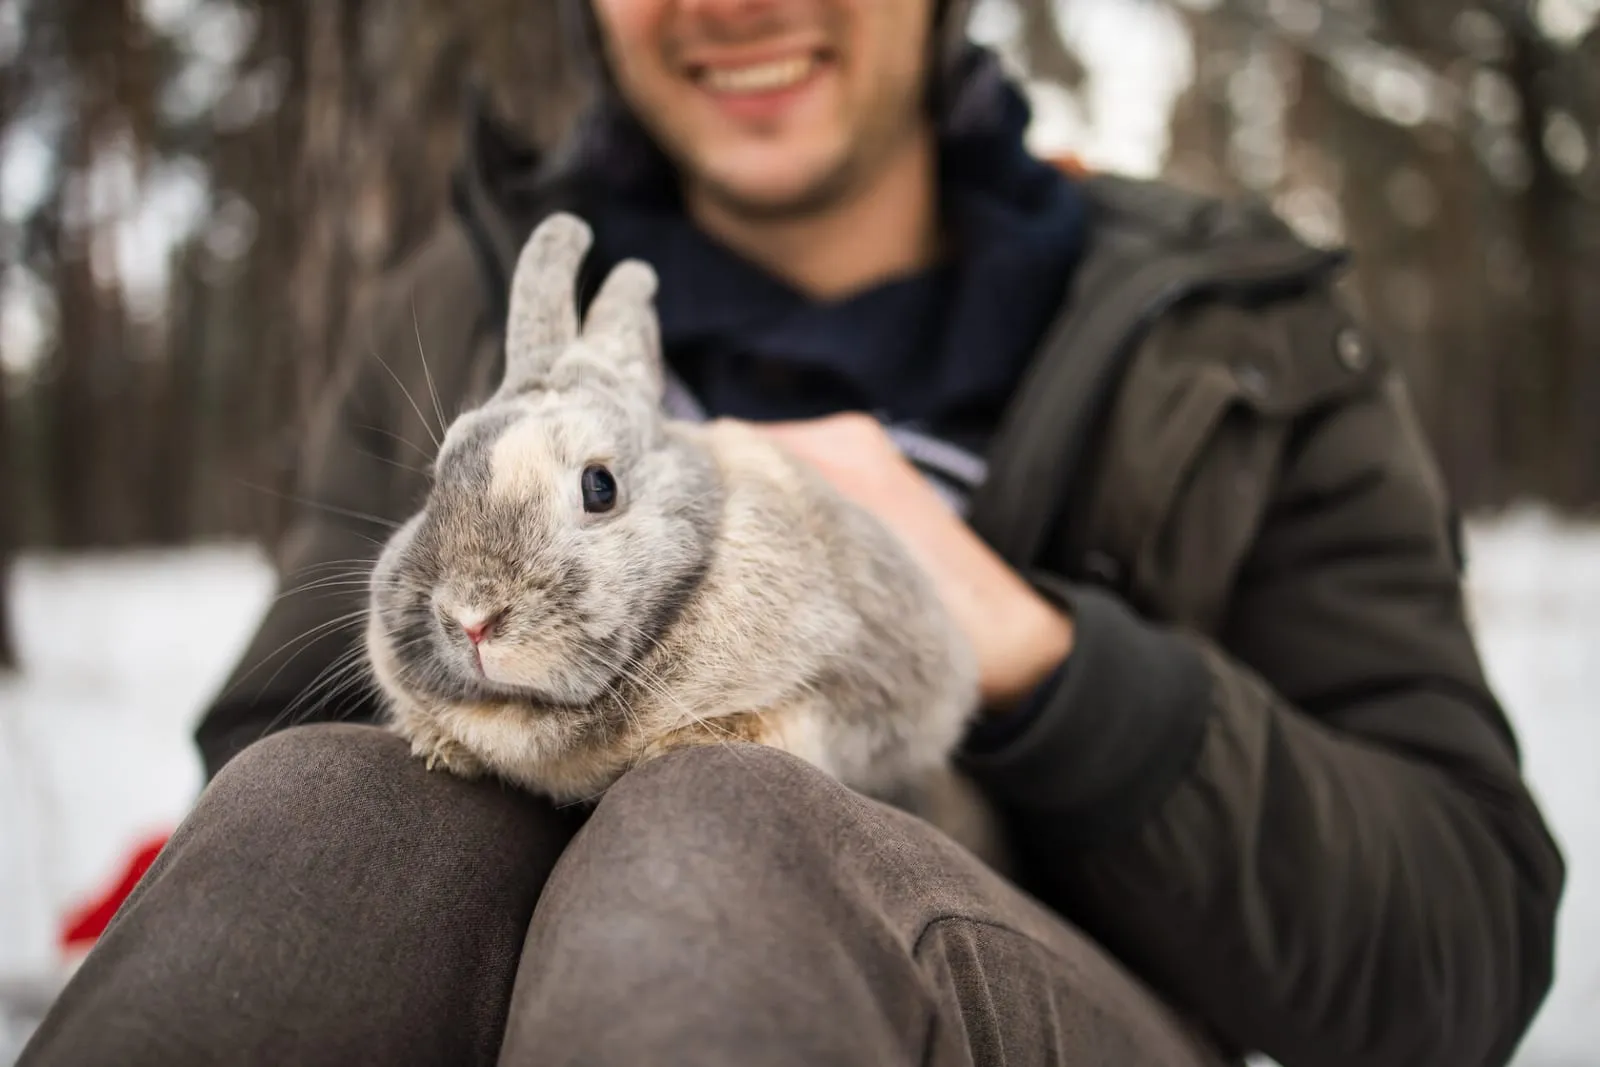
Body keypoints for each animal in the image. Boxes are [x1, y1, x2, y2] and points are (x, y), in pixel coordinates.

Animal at [363, 211, 1006, 867]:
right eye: (438, 474)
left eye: (600, 486)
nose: (471, 618)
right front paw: (436, 744)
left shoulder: (869, 681)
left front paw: (690, 742)